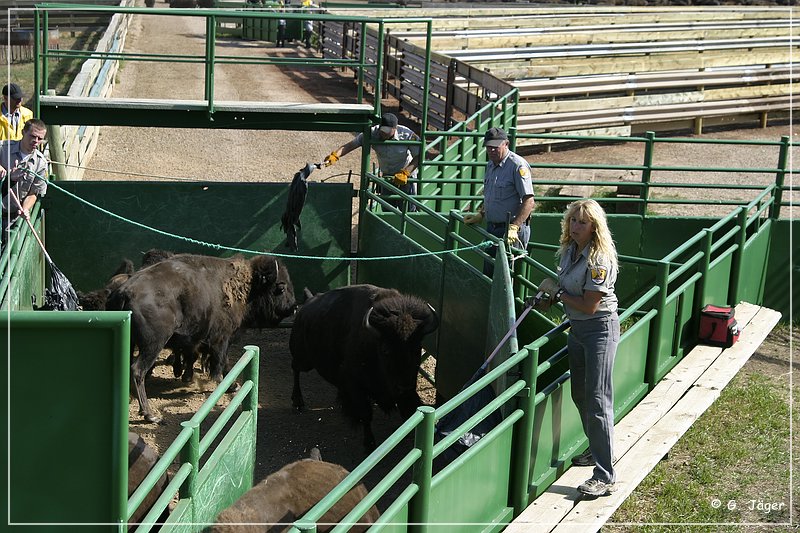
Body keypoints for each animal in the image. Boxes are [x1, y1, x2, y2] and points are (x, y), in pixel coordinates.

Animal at [104, 254, 296, 424]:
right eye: (281, 288)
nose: (293, 307)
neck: (247, 285)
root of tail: (124, 293)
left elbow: (221, 361)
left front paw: (232, 384)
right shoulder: (221, 338)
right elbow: (220, 363)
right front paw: (228, 385)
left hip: (131, 343)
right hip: (153, 345)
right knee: (138, 370)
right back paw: (151, 415)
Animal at [288, 282, 438, 448]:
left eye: (417, 349)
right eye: (385, 350)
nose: (403, 386)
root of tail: (305, 306)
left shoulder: (407, 390)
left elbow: (409, 410)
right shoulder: (356, 386)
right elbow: (366, 415)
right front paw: (369, 444)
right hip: (304, 359)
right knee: (295, 368)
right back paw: (298, 403)